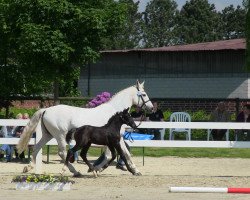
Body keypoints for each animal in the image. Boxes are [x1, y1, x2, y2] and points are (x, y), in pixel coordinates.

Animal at [17, 80, 152, 176]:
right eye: (144, 94)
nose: (151, 108)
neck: (114, 113)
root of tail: (46, 110)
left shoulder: (118, 139)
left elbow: (125, 154)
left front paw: (135, 171)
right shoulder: (113, 141)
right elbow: (111, 156)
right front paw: (96, 169)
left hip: (47, 135)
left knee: (37, 148)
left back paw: (28, 167)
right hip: (60, 135)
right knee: (63, 152)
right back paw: (75, 171)